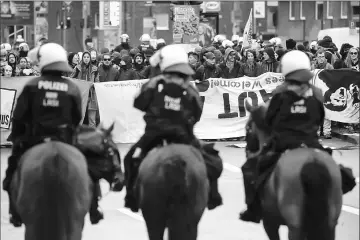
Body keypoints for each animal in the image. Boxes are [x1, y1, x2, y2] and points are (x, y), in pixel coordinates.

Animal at [245, 100, 344, 240]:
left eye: (247, 128)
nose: (248, 151)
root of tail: (312, 161)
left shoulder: (270, 223)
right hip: (329, 224)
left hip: (295, 227)